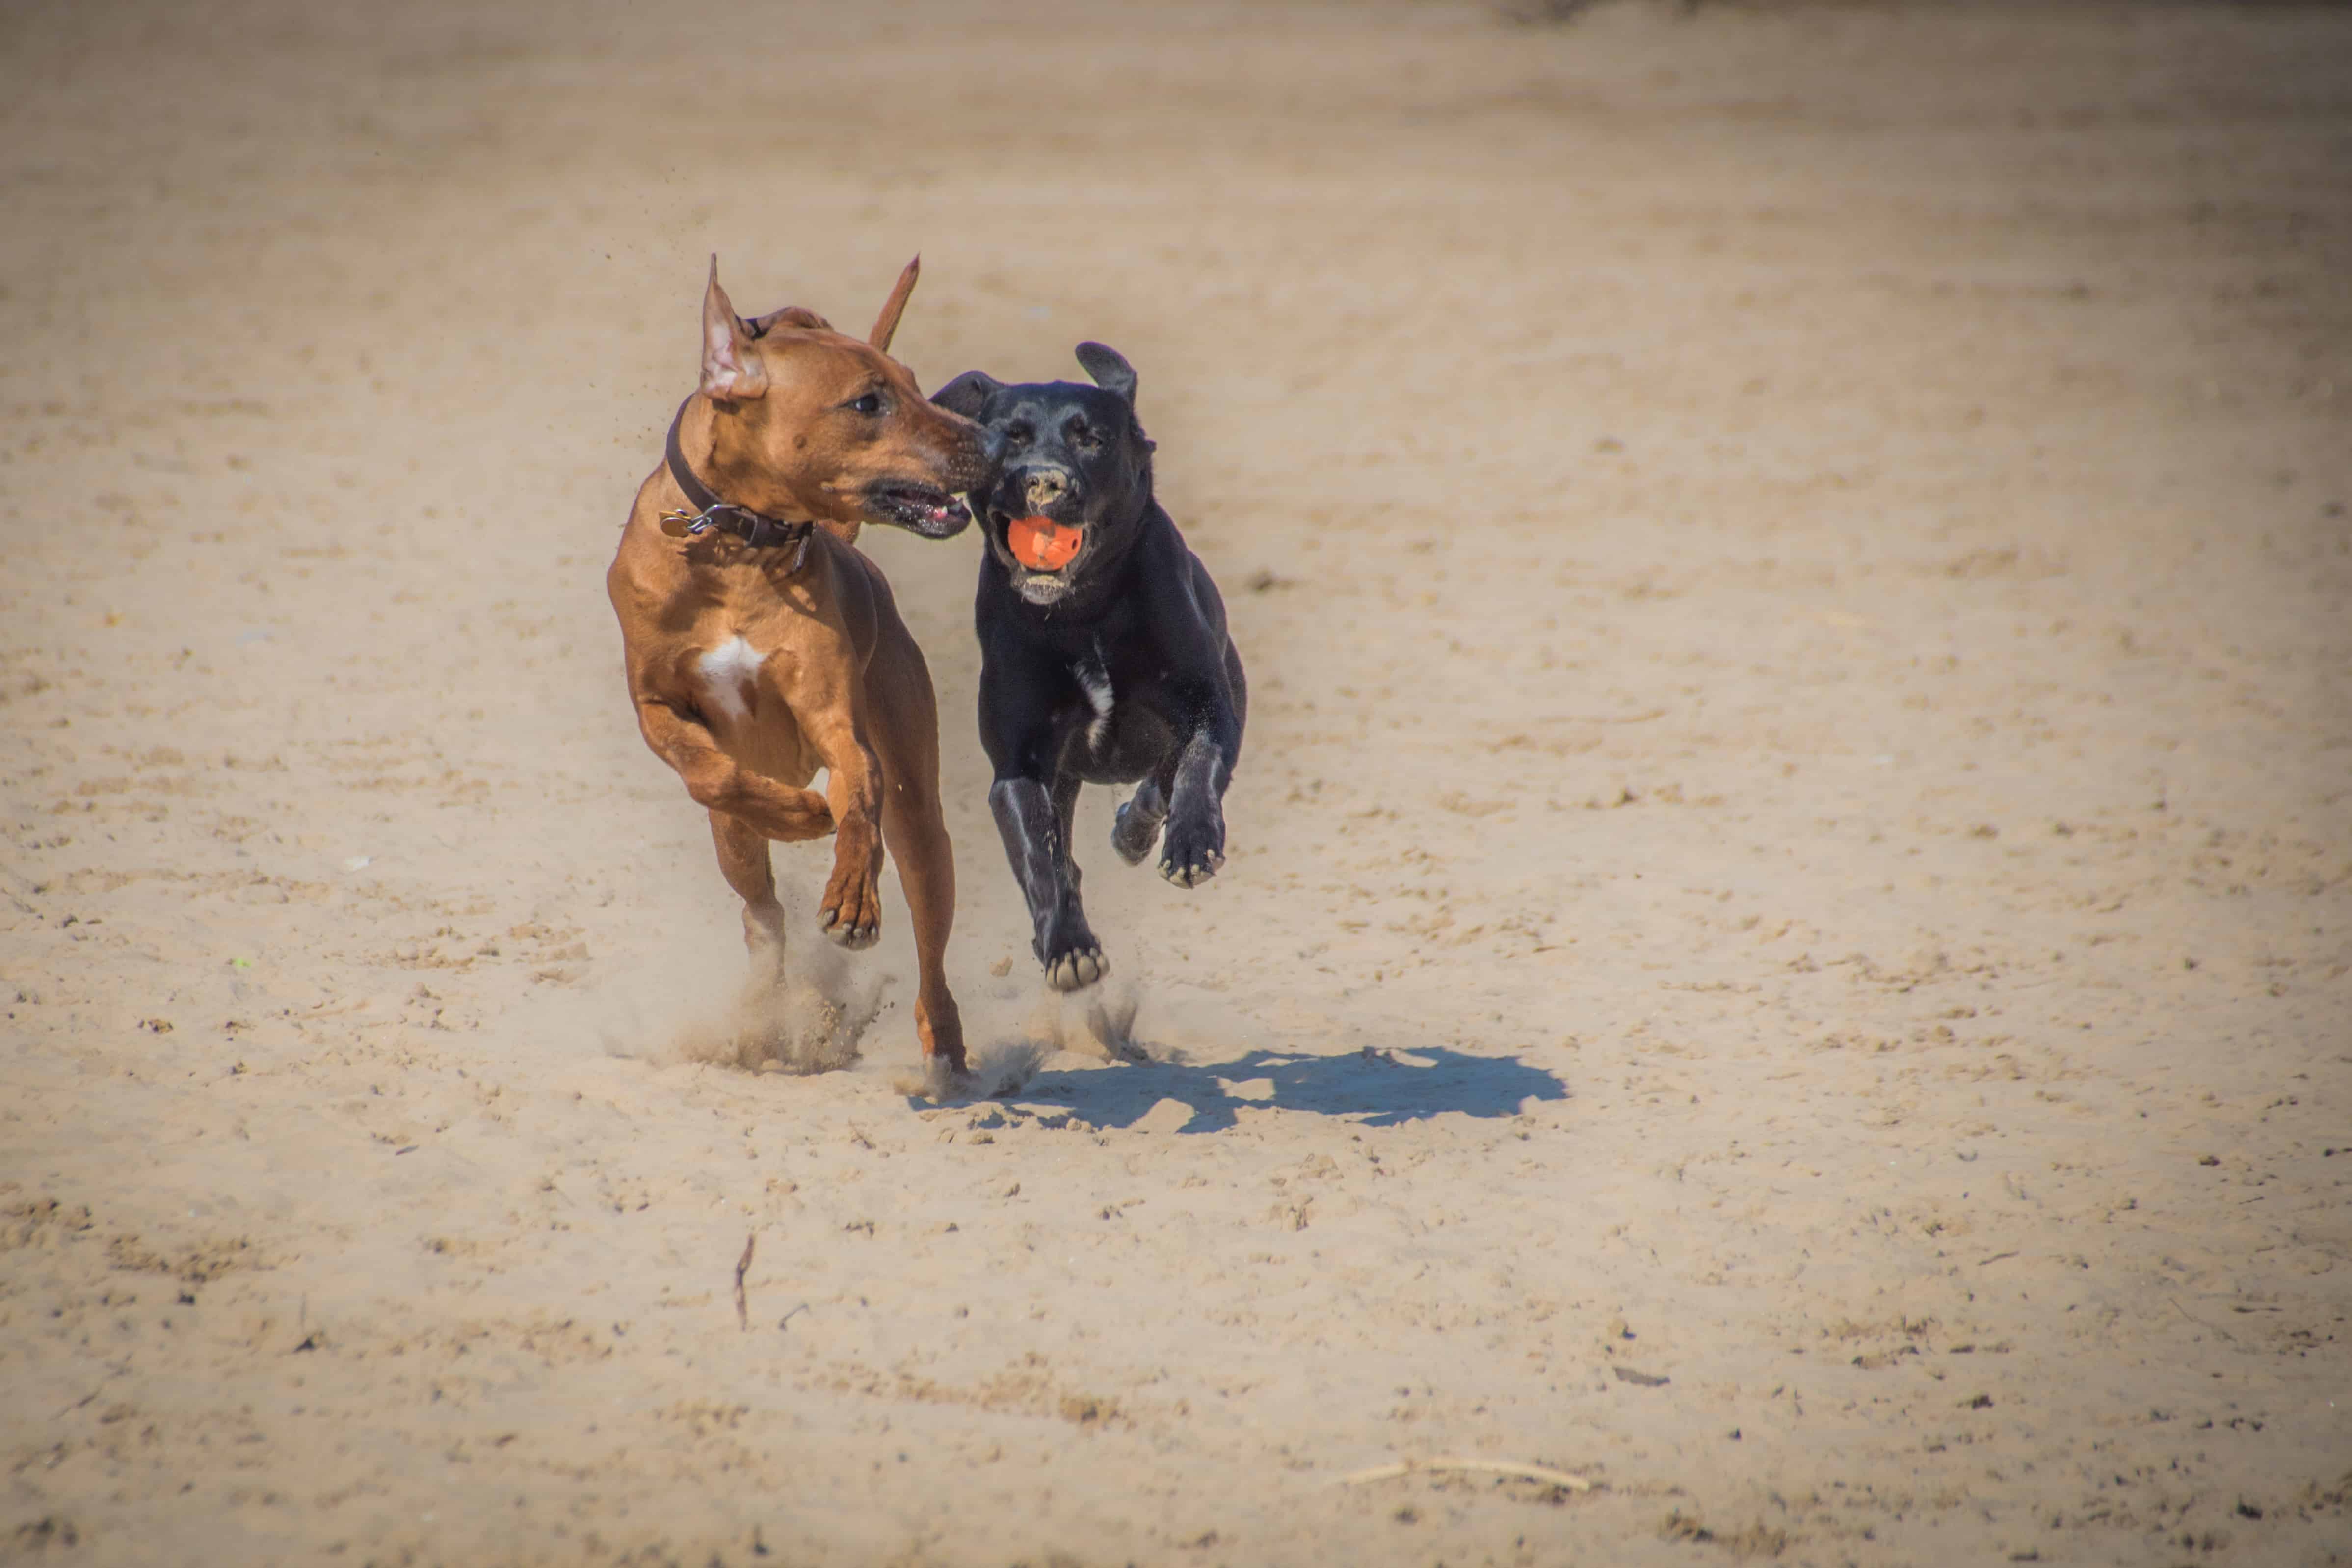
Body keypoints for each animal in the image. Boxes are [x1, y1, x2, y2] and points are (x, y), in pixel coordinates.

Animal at [607, 261, 992, 1081]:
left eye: (914, 385)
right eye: (869, 402)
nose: (995, 438)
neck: (736, 550)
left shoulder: (835, 716)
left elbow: (860, 797)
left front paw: (850, 894)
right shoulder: (655, 706)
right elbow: (710, 772)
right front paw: (797, 813)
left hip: (921, 820)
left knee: (921, 921)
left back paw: (942, 1042)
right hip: (732, 844)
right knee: (763, 913)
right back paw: (760, 1016)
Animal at [931, 345, 1251, 992]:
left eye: (1091, 439)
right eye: (1011, 437)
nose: (1045, 481)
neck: (1085, 613)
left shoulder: (1207, 705)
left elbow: (1198, 766)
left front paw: (1190, 845)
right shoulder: (1020, 764)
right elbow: (1042, 861)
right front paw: (1067, 947)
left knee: (1162, 781)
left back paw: (1138, 829)